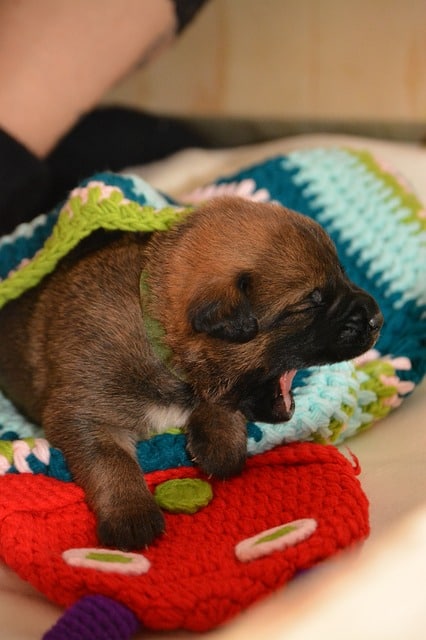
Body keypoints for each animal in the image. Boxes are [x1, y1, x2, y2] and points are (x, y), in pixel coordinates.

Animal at [0, 196, 382, 552]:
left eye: (343, 274)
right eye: (312, 301)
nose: (377, 319)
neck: (157, 334)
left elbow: (219, 402)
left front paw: (220, 441)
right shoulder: (81, 409)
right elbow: (109, 459)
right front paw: (131, 515)